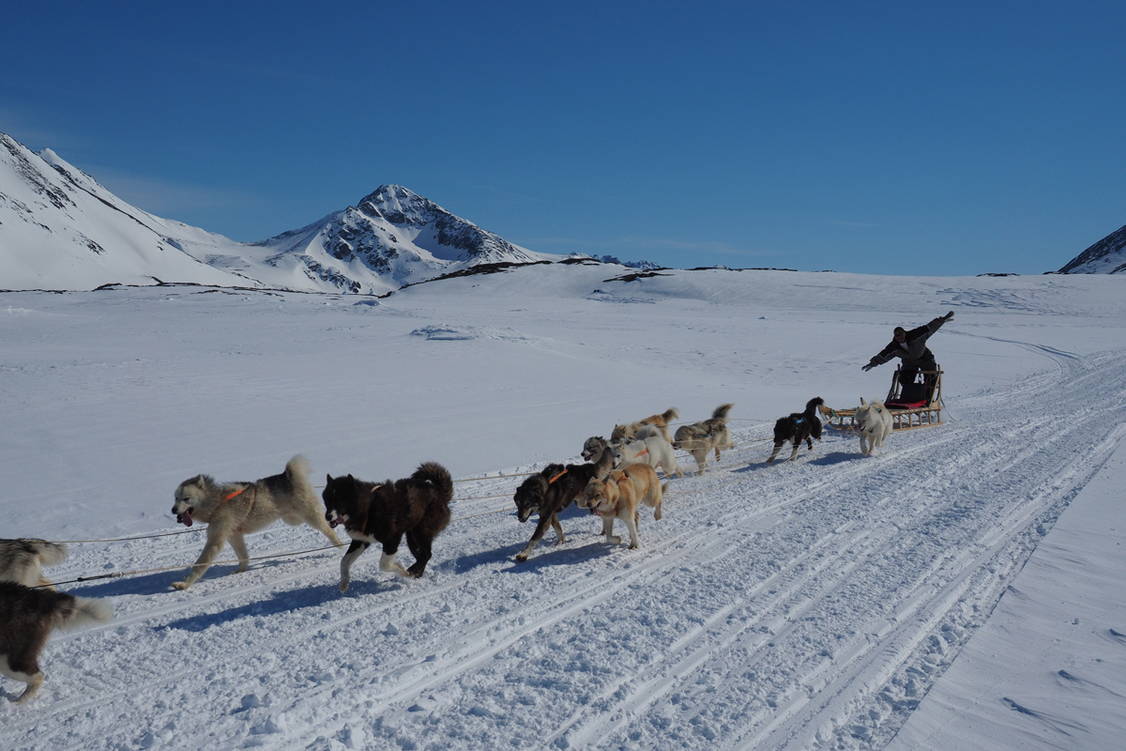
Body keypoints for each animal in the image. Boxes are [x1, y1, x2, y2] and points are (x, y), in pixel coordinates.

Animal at [170, 454, 337, 589]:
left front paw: (184, 584)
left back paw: (339, 543)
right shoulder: (234, 535)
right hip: (293, 519)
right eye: (176, 498)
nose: (173, 510)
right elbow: (243, 556)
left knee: (328, 530)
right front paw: (241, 569)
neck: (217, 503)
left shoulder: (215, 540)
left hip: (310, 516)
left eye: (186, 499)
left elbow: (200, 563)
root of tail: (287, 475)